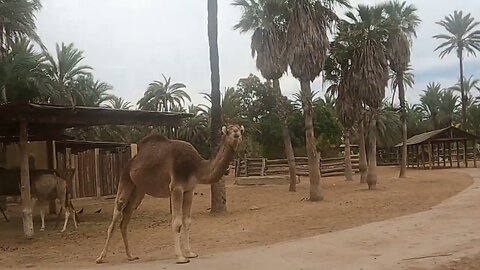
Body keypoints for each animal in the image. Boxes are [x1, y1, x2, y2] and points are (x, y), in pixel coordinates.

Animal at [0, 102, 190, 238]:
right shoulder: (41, 196)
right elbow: (39, 211)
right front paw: (41, 227)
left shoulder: (36, 195)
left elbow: (35, 210)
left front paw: (37, 228)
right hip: (64, 193)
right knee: (70, 209)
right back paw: (73, 225)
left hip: (61, 193)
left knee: (68, 210)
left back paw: (64, 228)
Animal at [95, 124, 244, 264]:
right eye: (228, 131)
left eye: (240, 130)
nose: (236, 134)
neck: (196, 167)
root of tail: (131, 162)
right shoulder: (176, 187)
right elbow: (177, 223)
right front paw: (180, 257)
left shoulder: (189, 190)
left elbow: (187, 221)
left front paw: (190, 253)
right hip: (125, 180)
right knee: (116, 213)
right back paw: (101, 257)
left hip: (138, 191)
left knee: (125, 218)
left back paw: (130, 256)